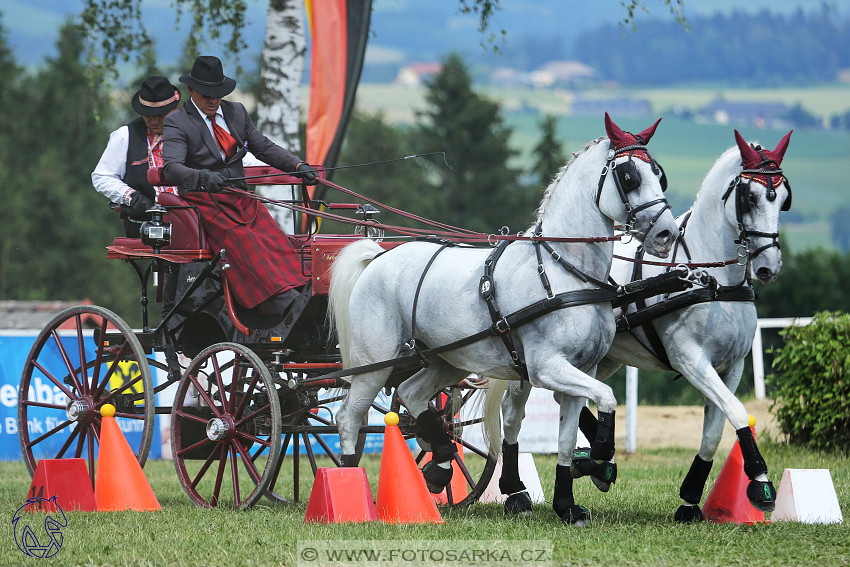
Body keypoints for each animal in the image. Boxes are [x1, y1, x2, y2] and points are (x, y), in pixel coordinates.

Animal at [330, 113, 676, 524]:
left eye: (659, 173)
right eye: (628, 175)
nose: (667, 232)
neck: (565, 271)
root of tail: (379, 256)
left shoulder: (583, 369)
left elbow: (566, 438)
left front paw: (567, 502)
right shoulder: (547, 367)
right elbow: (605, 400)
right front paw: (597, 464)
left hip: (447, 360)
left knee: (412, 393)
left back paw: (440, 466)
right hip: (375, 363)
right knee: (350, 417)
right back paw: (352, 487)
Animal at [494, 129, 792, 524]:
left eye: (784, 197)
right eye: (751, 196)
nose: (768, 266)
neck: (712, 281)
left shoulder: (733, 366)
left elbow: (715, 430)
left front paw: (690, 500)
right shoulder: (691, 360)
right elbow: (738, 411)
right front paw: (761, 484)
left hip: (600, 358)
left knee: (565, 397)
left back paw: (595, 463)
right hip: (528, 363)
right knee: (513, 414)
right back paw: (517, 490)